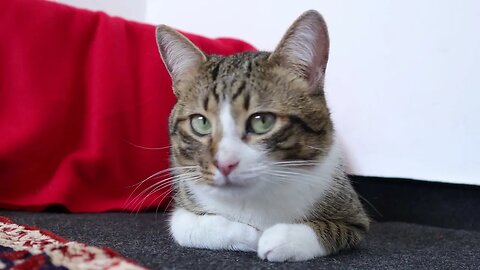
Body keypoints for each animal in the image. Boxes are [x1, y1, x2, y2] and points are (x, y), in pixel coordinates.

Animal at [156, 9, 370, 260]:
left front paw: (280, 239)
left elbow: (332, 229)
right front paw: (249, 235)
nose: (225, 164)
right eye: (201, 123)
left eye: (262, 121)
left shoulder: (354, 217)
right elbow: (186, 226)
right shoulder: (185, 201)